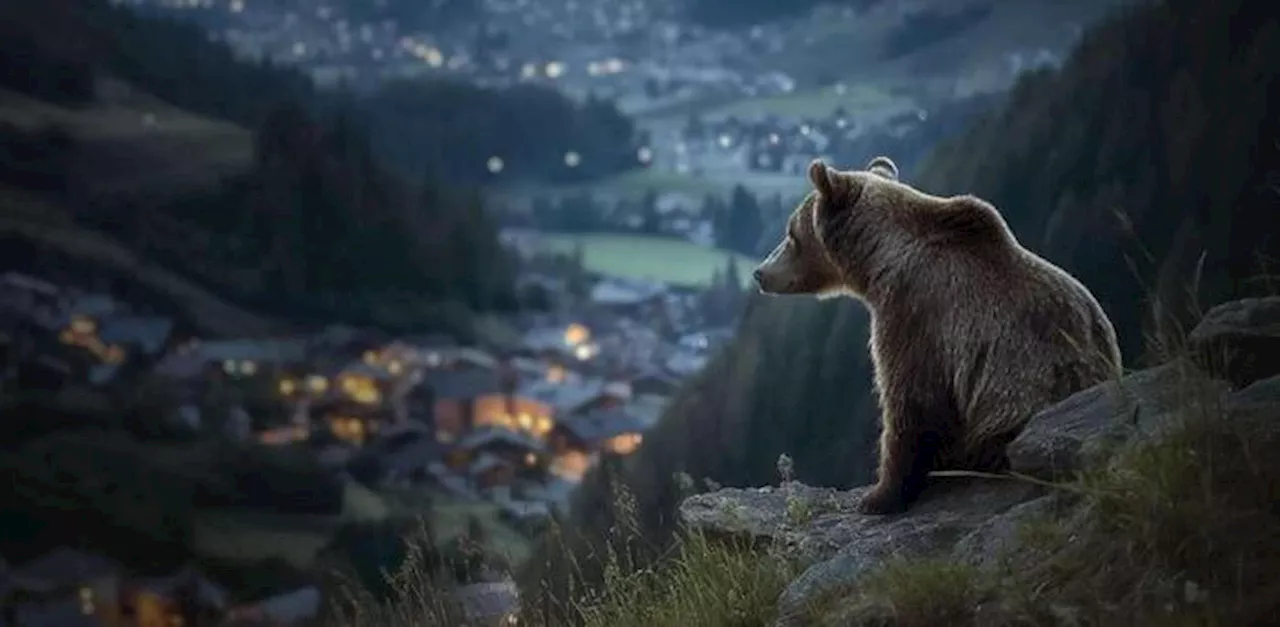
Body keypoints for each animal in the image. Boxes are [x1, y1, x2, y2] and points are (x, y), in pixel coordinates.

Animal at [747, 155, 1121, 514]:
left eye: (791, 233)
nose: (760, 273)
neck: (878, 260)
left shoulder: (916, 313)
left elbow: (913, 401)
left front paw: (879, 496)